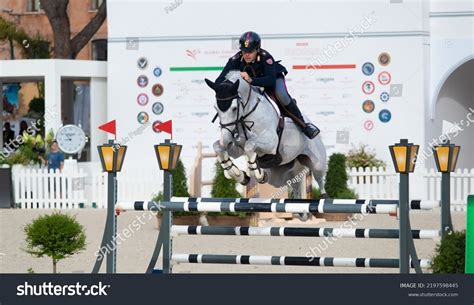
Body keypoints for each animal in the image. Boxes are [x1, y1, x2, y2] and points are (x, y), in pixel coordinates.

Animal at [206, 69, 328, 197]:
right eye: (216, 108)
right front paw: (239, 175)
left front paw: (259, 174)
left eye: (234, 108)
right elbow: (218, 147)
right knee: (295, 186)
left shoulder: (271, 144)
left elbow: (250, 145)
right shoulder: (238, 148)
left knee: (319, 179)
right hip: (287, 172)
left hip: (317, 163)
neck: (247, 114)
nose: (226, 141)